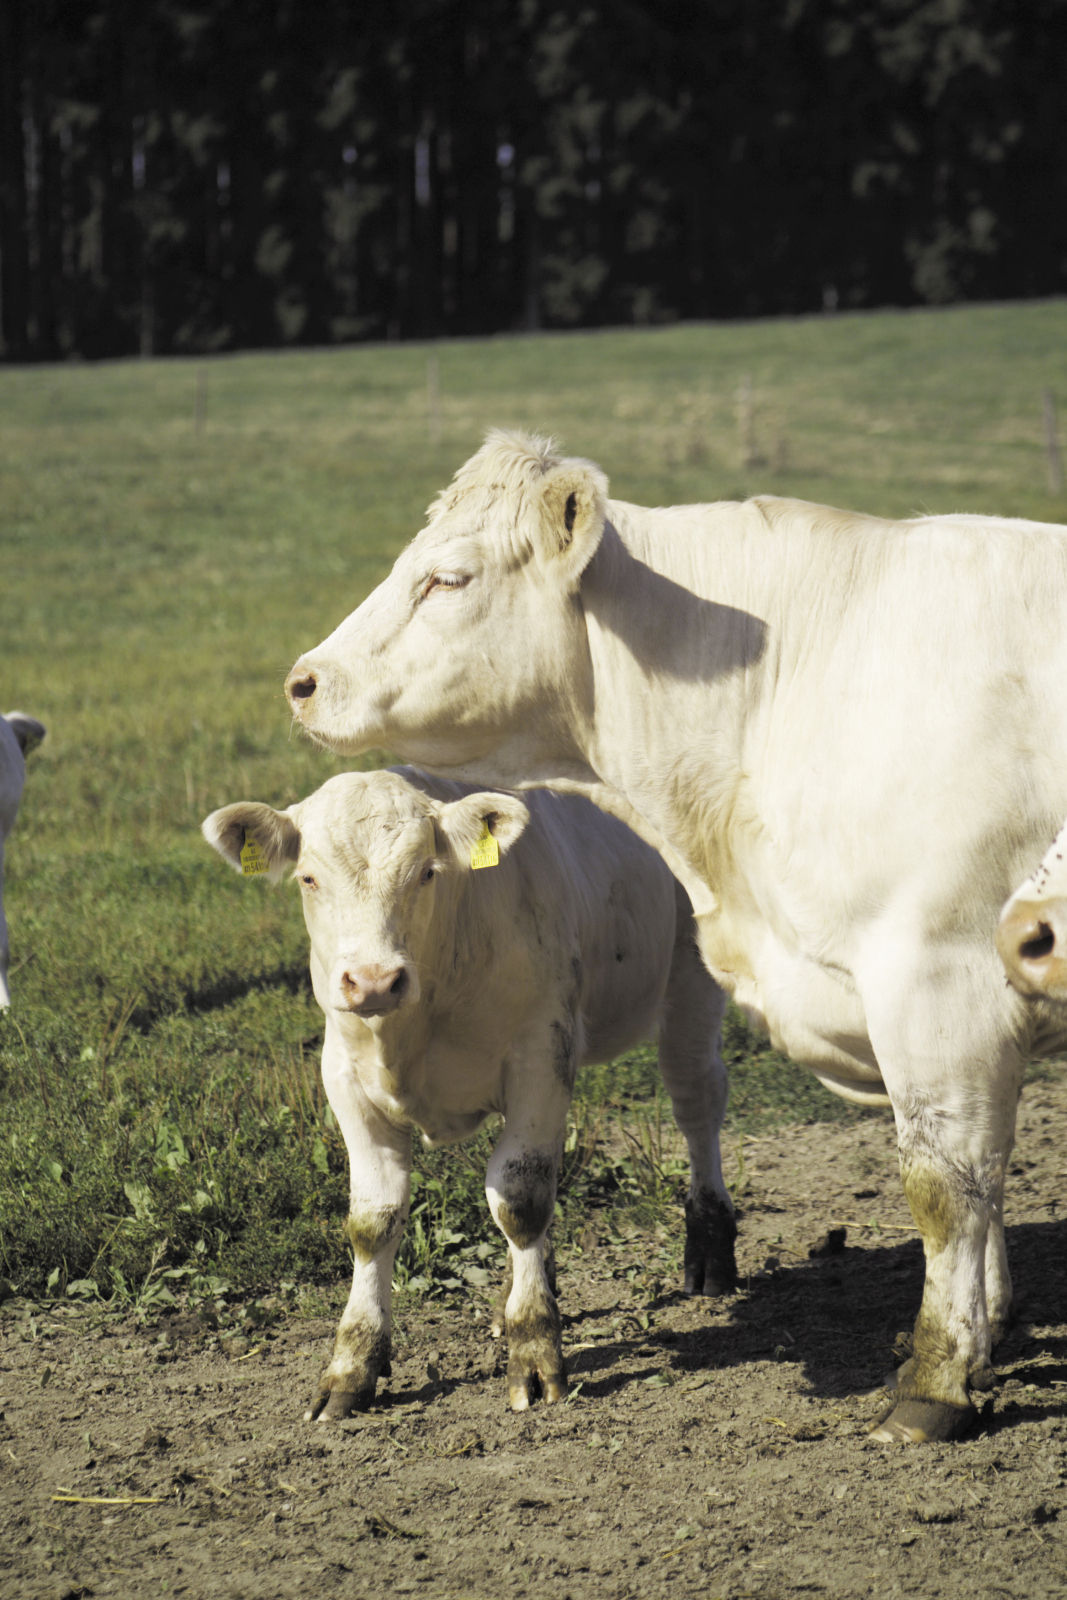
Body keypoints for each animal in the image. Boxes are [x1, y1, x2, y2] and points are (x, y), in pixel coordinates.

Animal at [201, 768, 735, 1420]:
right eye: (308, 878)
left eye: (427, 872)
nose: (374, 981)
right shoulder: (344, 1076)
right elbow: (373, 1220)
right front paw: (352, 1365)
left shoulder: (540, 1052)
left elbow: (520, 1200)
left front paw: (534, 1350)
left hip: (692, 982)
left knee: (697, 1101)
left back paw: (710, 1250)